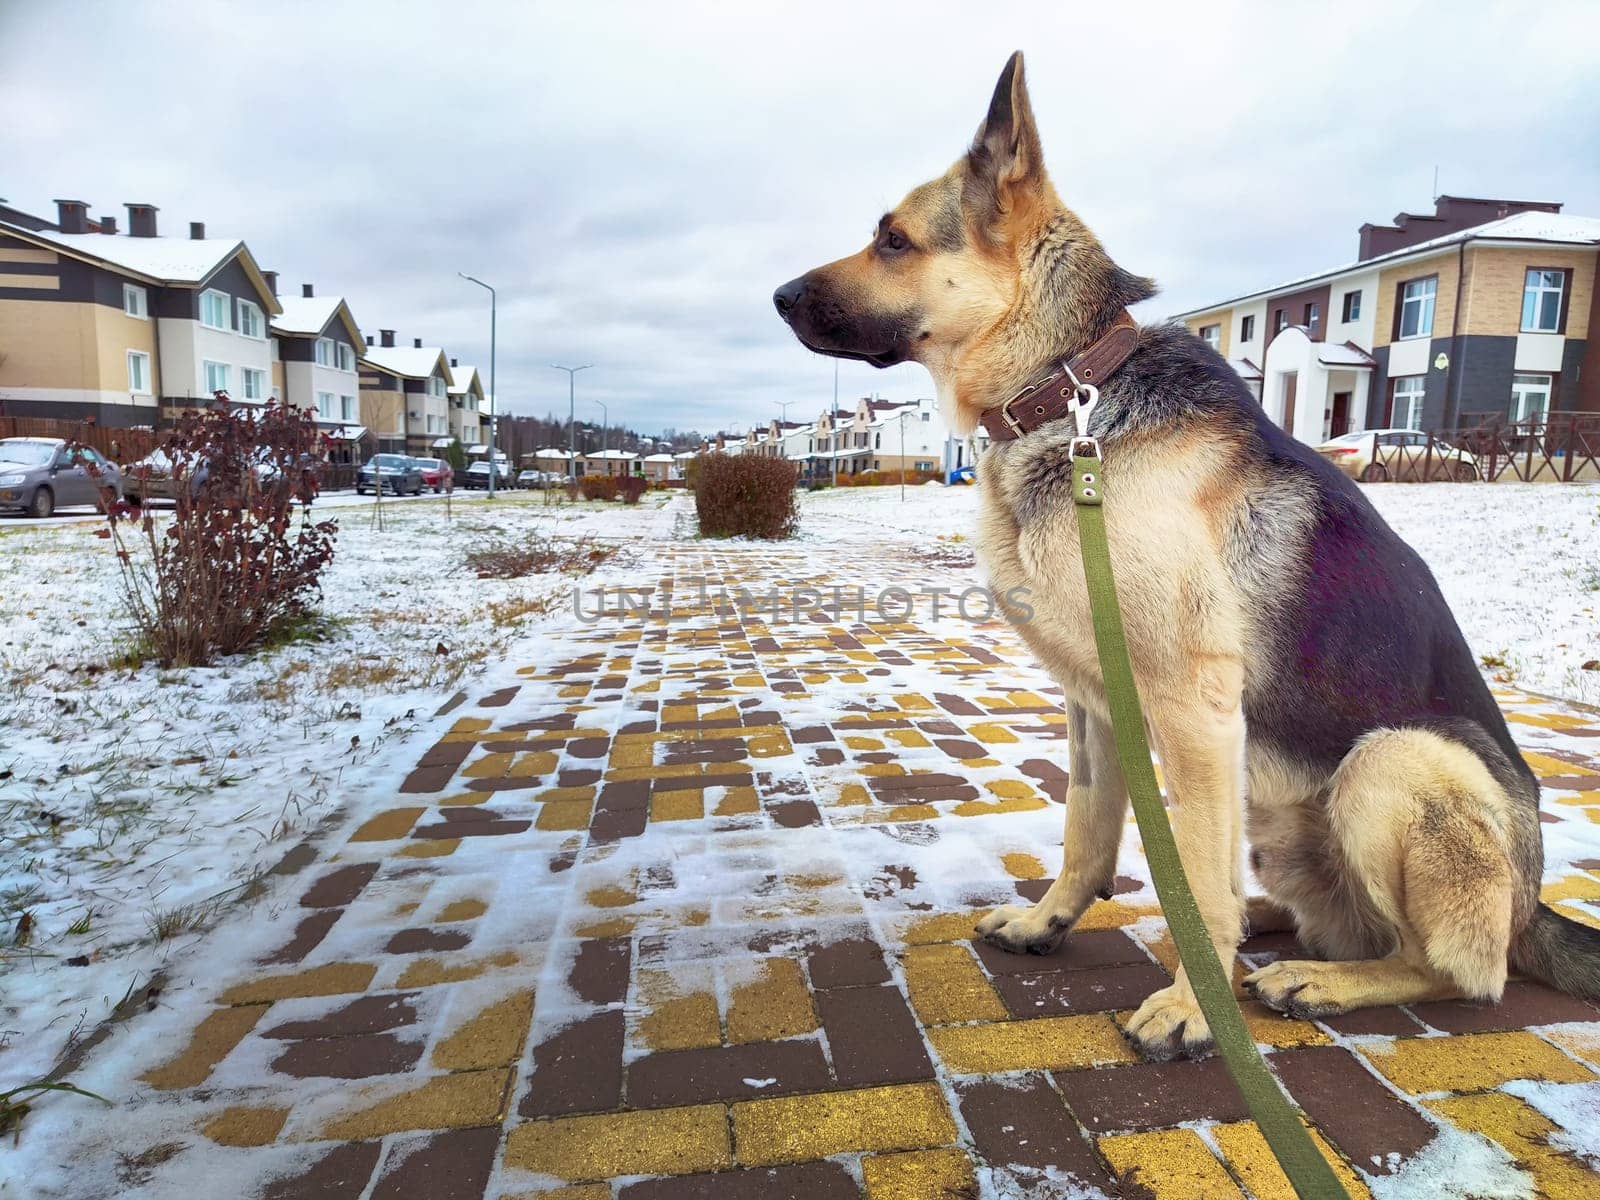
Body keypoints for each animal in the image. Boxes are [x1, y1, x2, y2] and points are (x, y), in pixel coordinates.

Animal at [768, 49, 1593, 1062]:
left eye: (892, 240)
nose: (777, 299)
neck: (1069, 391)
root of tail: (1529, 905)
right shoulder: (1093, 702)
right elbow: (1086, 832)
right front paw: (1049, 921)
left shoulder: (1193, 711)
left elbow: (1193, 875)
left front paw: (1193, 1005)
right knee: (1320, 915)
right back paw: (1272, 929)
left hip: (1391, 762)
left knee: (1457, 969)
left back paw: (1315, 976)